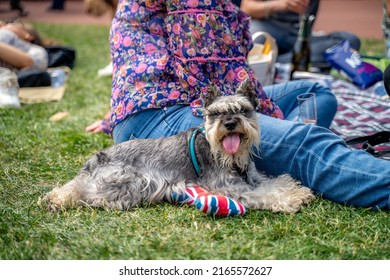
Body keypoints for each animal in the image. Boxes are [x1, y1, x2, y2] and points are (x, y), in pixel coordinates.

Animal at [42, 79, 314, 212]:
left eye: (243, 109)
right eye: (215, 113)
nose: (229, 123)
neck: (232, 159)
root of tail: (97, 158)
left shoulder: (254, 178)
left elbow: (275, 182)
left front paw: (297, 190)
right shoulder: (231, 189)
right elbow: (265, 194)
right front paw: (291, 199)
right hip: (127, 182)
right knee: (83, 191)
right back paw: (57, 199)